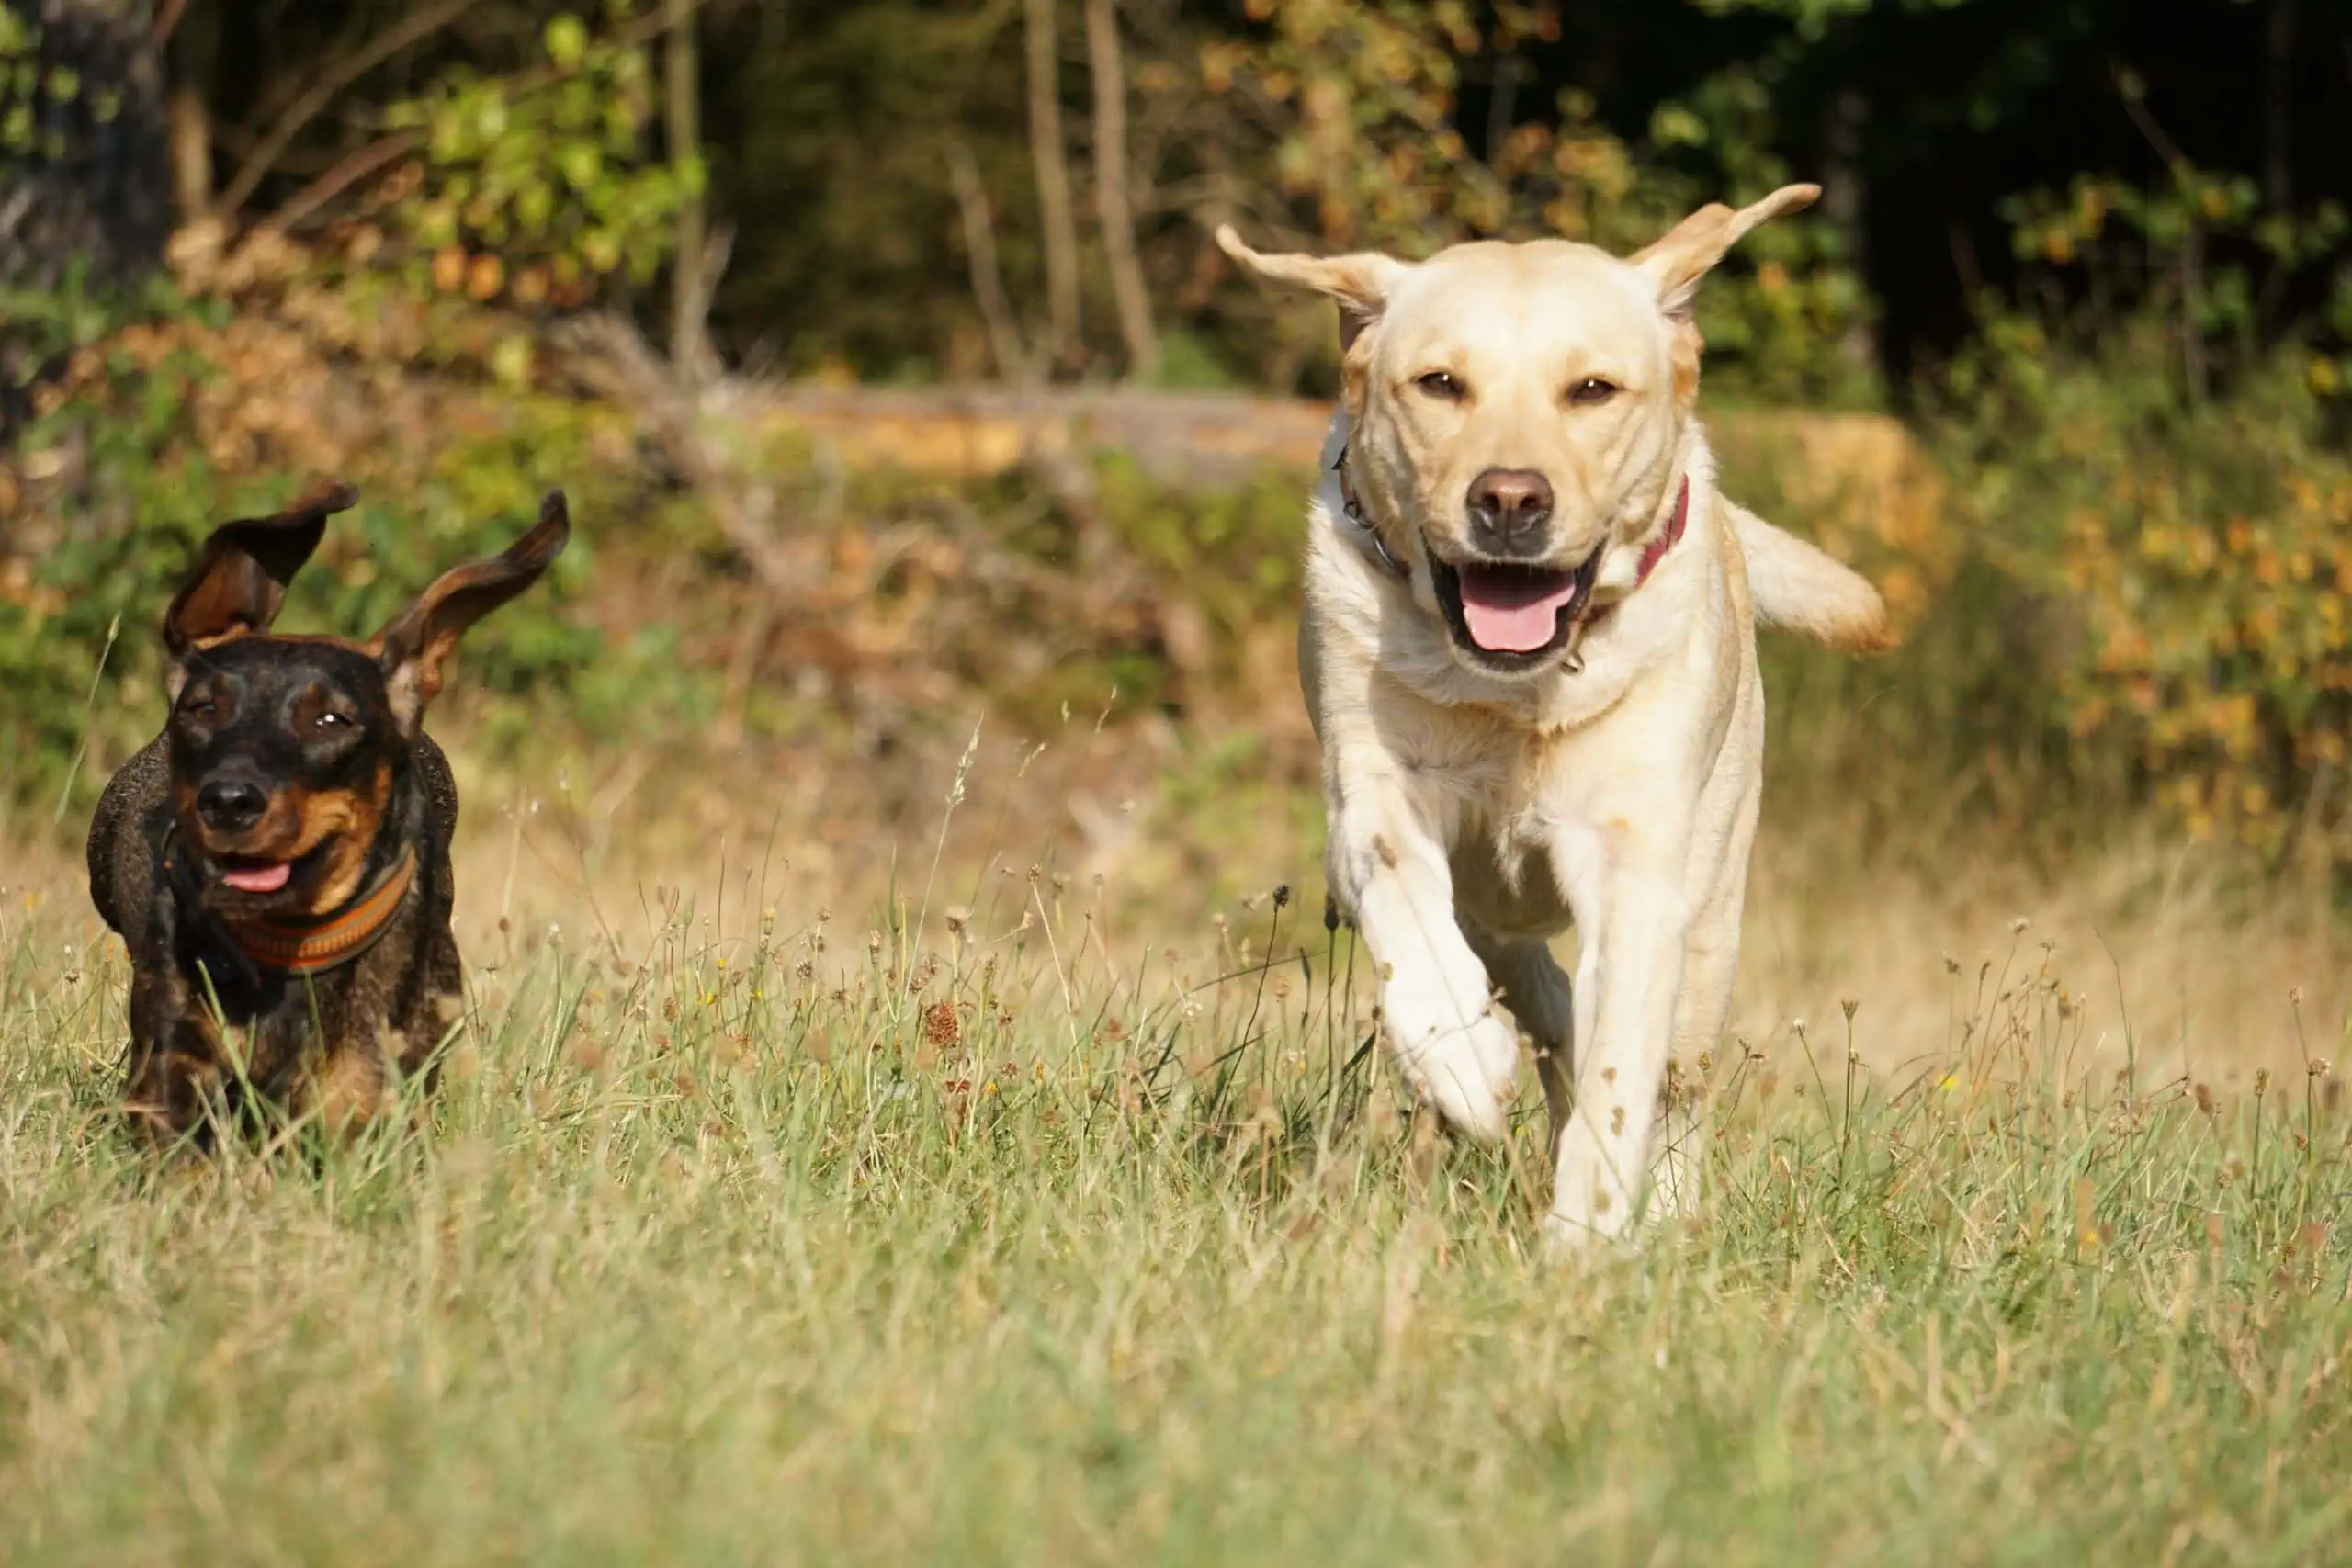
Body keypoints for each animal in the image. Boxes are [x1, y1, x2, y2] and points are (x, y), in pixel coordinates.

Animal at [1223, 184, 1882, 1241]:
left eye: (1593, 391)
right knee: (1537, 984)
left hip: (1712, 908)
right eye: (1440, 383)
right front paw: (1458, 1056)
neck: (1514, 694)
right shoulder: (1370, 800)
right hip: (1494, 901)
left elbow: (1622, 1076)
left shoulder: (1636, 866)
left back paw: (1663, 1215)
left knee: (1674, 1079)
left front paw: (1586, 1240)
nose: (1508, 500)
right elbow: (1404, 903)